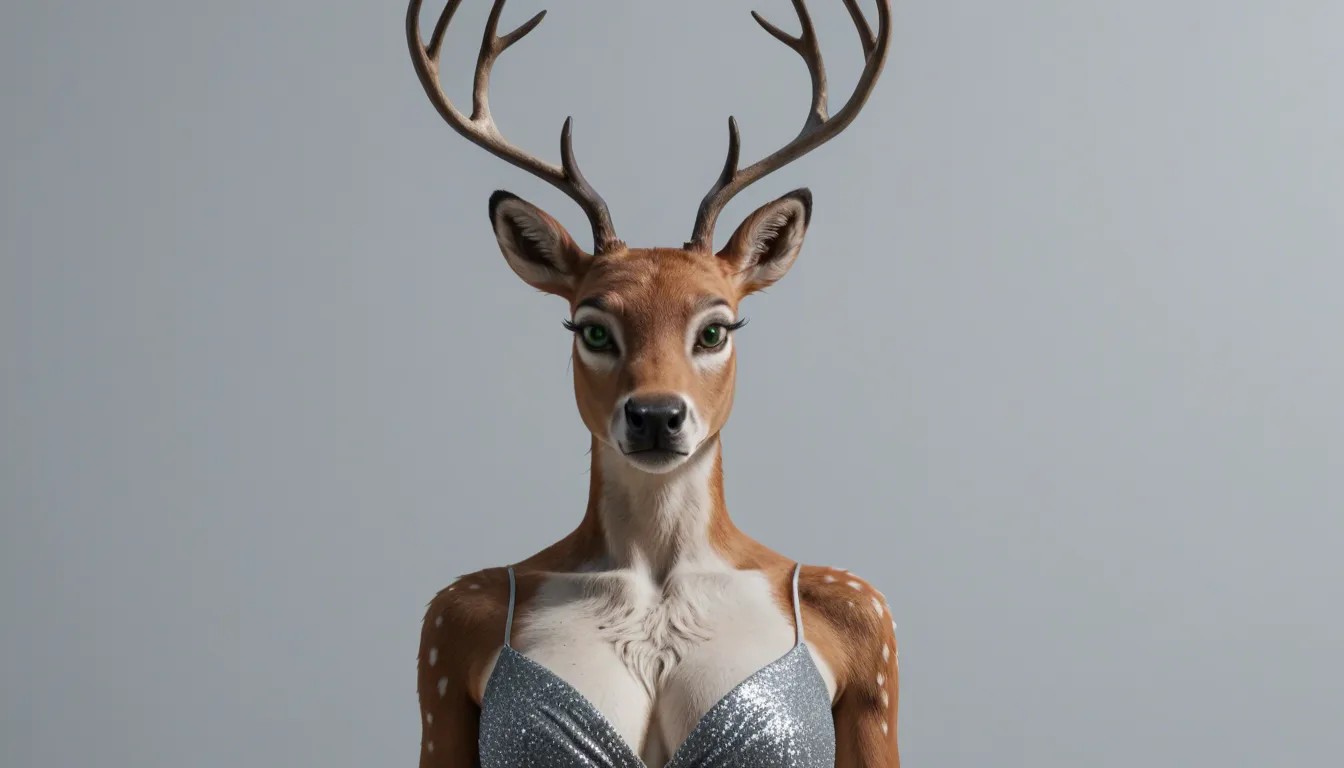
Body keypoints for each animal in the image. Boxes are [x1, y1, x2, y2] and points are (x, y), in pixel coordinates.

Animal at [407, 1, 899, 765]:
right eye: (592, 329)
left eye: (716, 329)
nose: (657, 416)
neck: (660, 571)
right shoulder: (443, 634)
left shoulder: (871, 630)